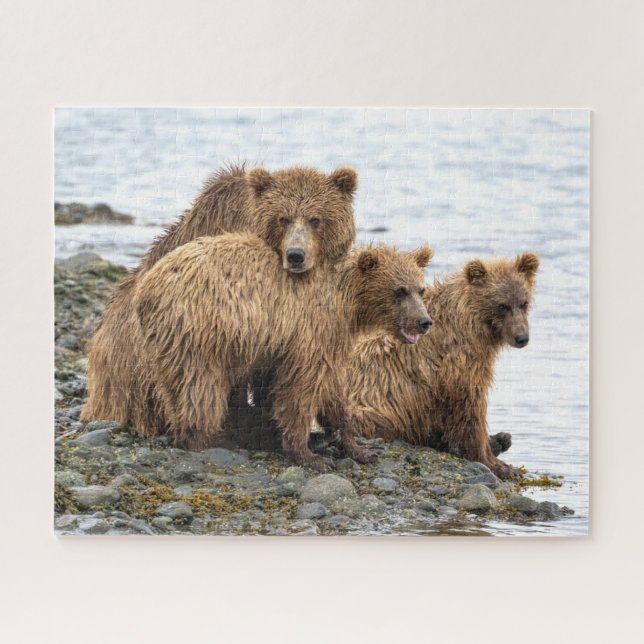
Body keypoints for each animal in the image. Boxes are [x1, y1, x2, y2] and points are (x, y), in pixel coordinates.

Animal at [132, 235, 433, 471]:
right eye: (399, 290)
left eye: (420, 289)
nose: (424, 321)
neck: (347, 303)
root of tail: (145, 288)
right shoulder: (310, 330)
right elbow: (301, 389)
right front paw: (310, 455)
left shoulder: (329, 340)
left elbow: (333, 391)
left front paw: (360, 448)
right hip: (201, 331)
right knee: (201, 387)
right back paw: (213, 440)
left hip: (171, 342)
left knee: (176, 387)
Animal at [346, 252, 539, 479]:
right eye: (502, 305)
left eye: (523, 302)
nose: (522, 337)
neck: (471, 324)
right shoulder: (457, 363)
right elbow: (469, 407)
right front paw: (498, 464)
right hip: (370, 407)